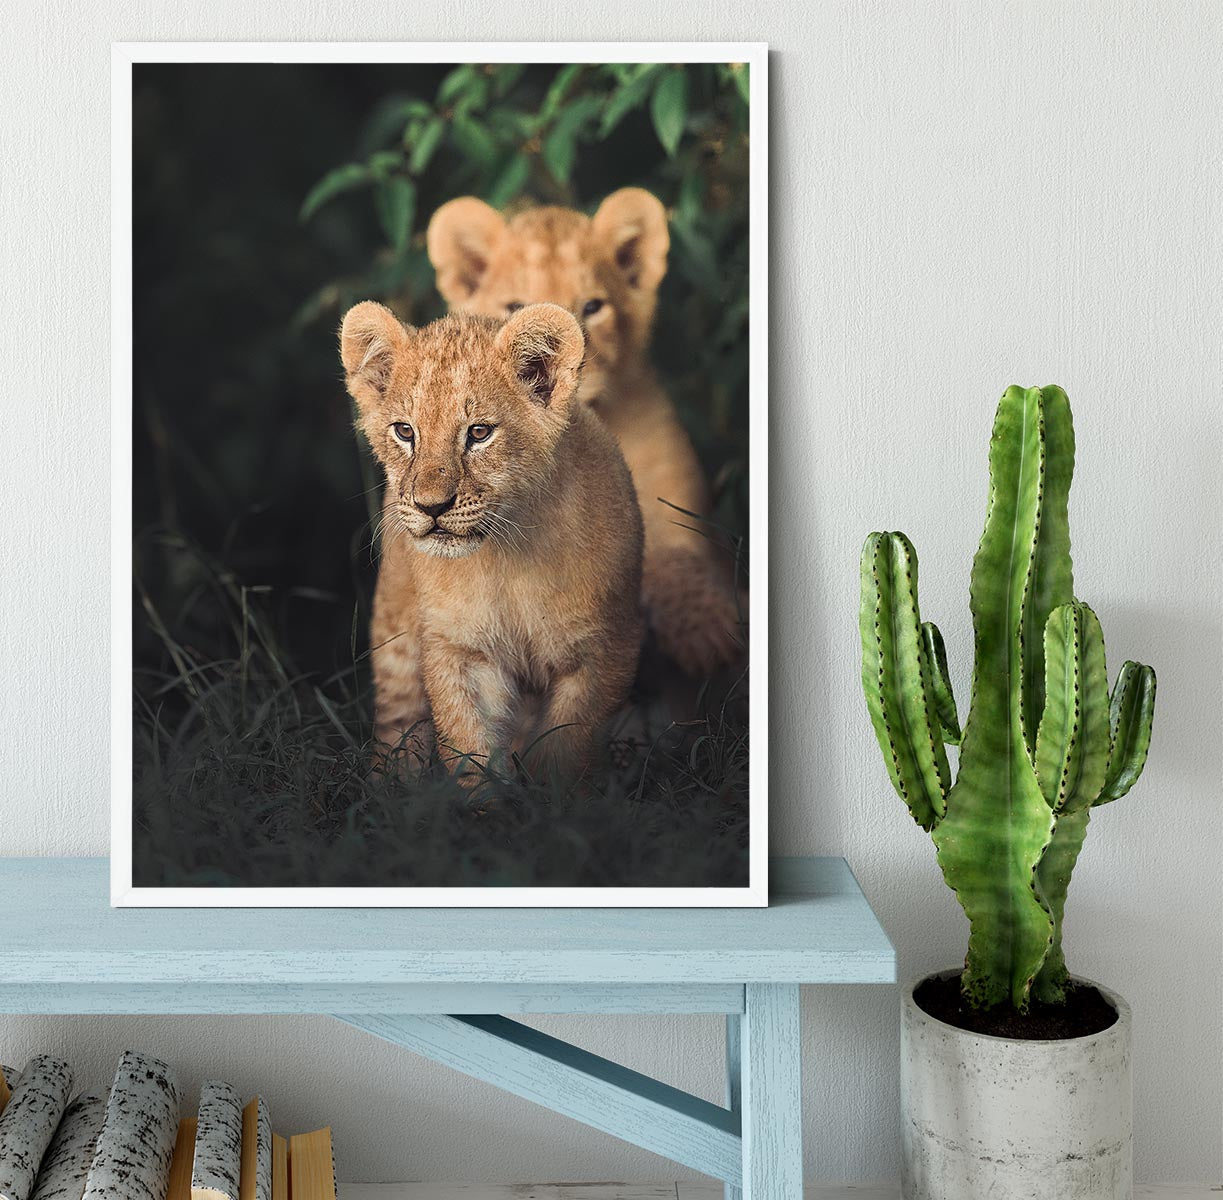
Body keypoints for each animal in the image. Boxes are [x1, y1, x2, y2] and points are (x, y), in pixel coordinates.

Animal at [339, 300, 644, 781]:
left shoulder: (606, 649)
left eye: (479, 433)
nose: (430, 507)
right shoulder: (458, 650)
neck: (508, 556)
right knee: (398, 726)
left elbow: (565, 751)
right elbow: (470, 751)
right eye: (405, 432)